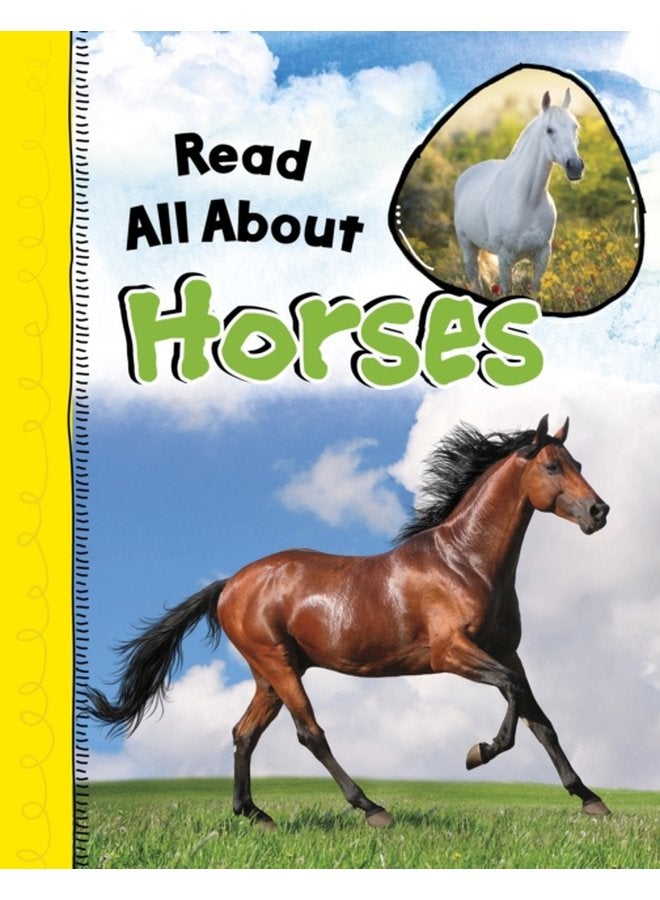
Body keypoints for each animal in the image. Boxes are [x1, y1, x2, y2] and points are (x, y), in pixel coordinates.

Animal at [87, 414, 610, 829]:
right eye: (552, 466)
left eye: (579, 465)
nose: (599, 511)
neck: (465, 562)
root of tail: (230, 584)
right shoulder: (452, 653)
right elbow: (512, 696)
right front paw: (478, 753)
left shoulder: (507, 652)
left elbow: (539, 719)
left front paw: (590, 800)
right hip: (278, 666)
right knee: (309, 733)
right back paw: (371, 808)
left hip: (270, 675)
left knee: (244, 733)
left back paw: (255, 814)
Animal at [454, 90, 584, 298]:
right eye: (549, 130)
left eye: (575, 127)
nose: (575, 167)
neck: (528, 202)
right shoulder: (505, 258)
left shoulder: (542, 256)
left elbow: (535, 291)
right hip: (468, 248)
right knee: (475, 281)